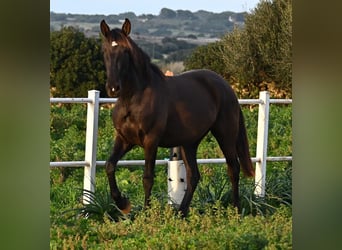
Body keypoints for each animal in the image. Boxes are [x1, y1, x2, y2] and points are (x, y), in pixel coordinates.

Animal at [99, 18, 254, 216]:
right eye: (104, 51)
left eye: (125, 51)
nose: (113, 88)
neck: (133, 98)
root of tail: (226, 87)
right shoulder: (125, 139)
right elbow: (109, 165)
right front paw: (123, 203)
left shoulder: (151, 141)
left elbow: (147, 177)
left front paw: (146, 213)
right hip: (189, 143)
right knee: (193, 175)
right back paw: (181, 212)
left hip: (225, 134)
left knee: (233, 168)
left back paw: (235, 210)